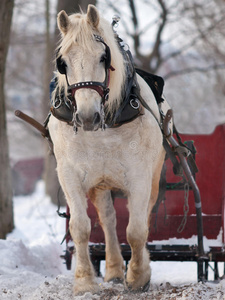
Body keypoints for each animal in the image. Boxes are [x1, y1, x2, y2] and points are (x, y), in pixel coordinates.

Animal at [48, 4, 171, 296]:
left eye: (104, 57)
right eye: (63, 63)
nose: (87, 117)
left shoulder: (139, 176)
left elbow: (136, 230)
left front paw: (138, 276)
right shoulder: (69, 174)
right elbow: (80, 227)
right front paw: (84, 281)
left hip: (153, 176)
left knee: (143, 216)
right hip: (99, 183)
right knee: (108, 219)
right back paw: (114, 270)